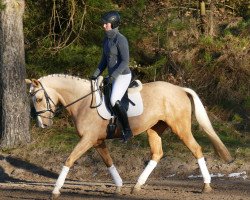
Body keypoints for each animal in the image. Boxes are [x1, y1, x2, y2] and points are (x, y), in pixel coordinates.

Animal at [25, 74, 232, 198]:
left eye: (39, 99)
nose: (42, 125)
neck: (83, 102)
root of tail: (180, 89)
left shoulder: (88, 139)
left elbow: (69, 159)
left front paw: (55, 190)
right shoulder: (97, 141)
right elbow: (108, 162)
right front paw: (119, 186)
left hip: (180, 127)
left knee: (196, 149)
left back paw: (206, 185)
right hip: (154, 129)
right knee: (157, 154)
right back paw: (137, 186)